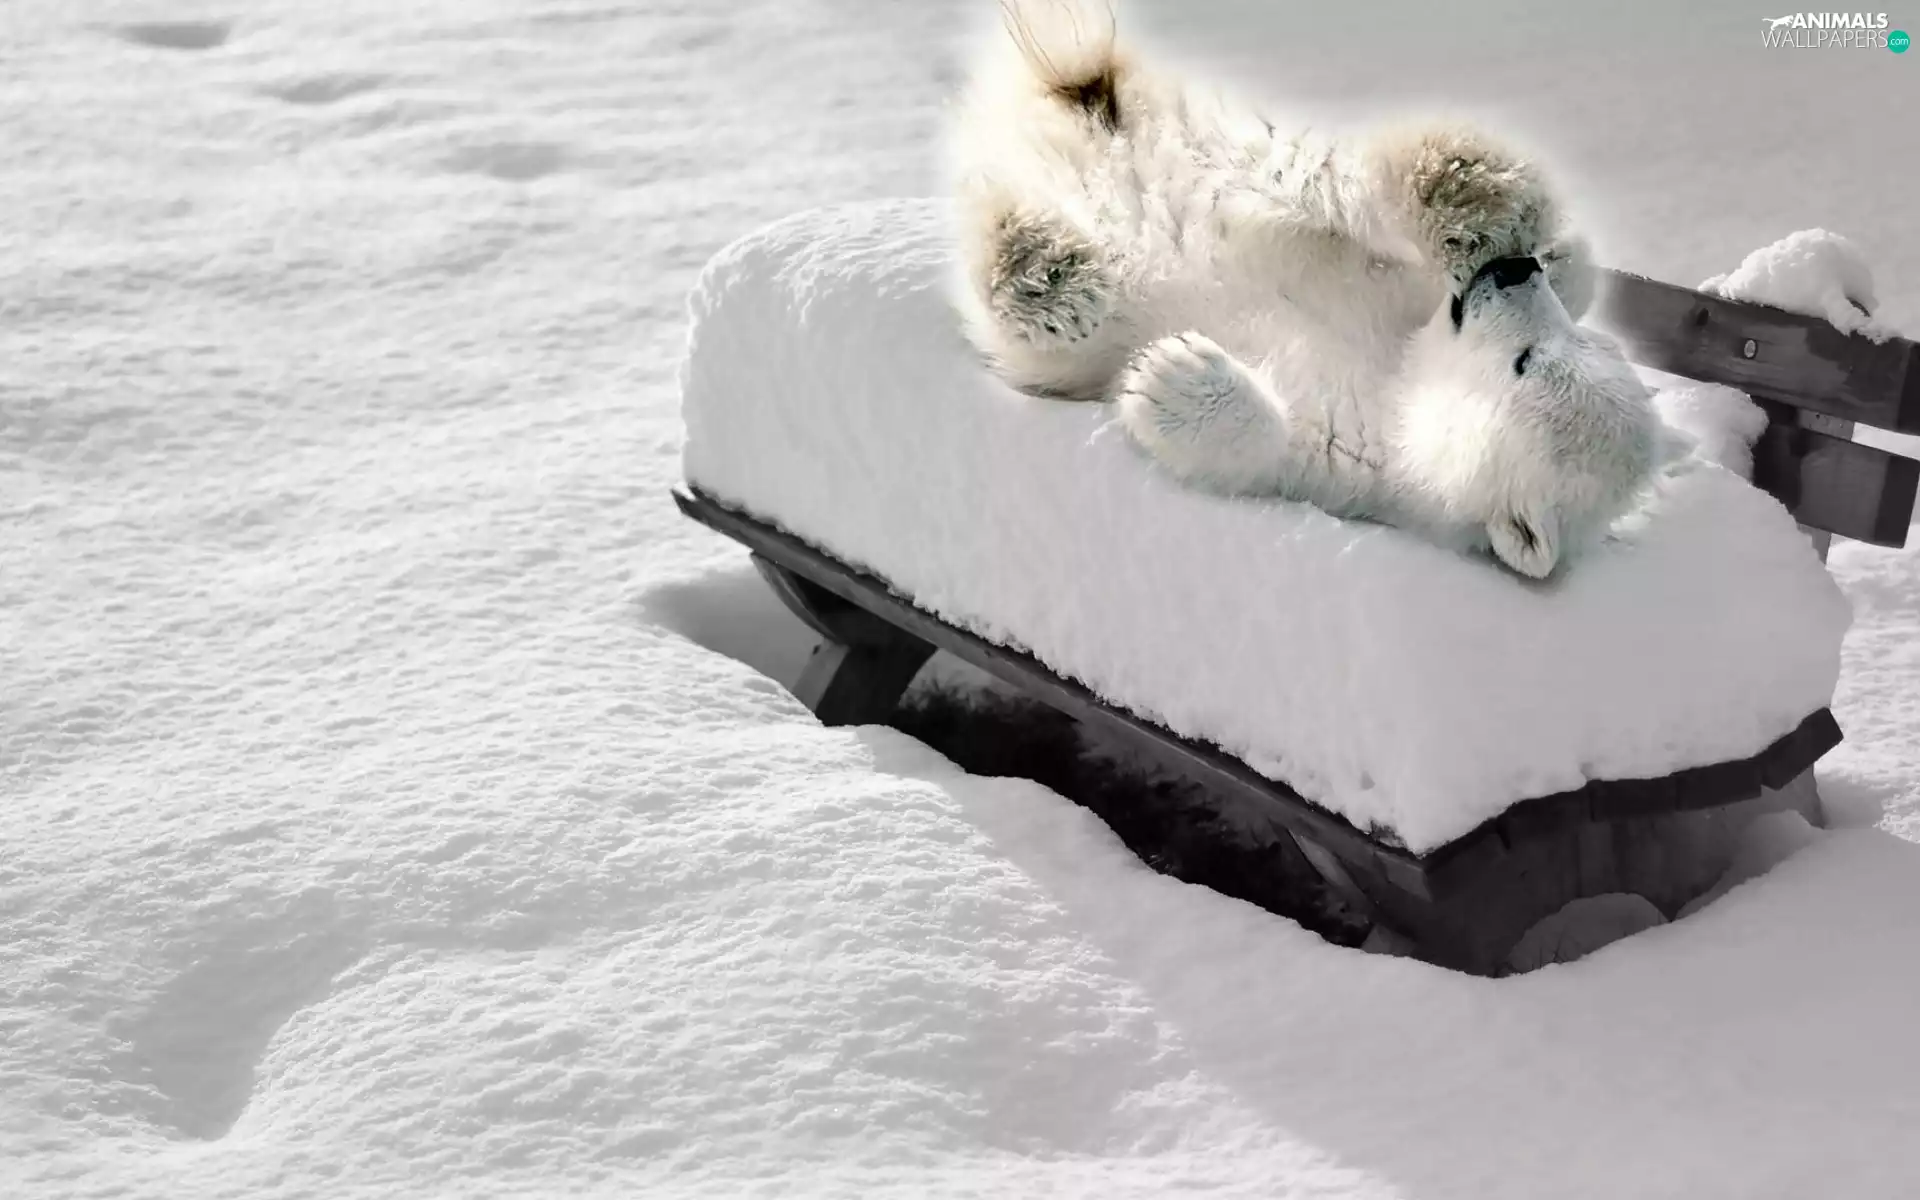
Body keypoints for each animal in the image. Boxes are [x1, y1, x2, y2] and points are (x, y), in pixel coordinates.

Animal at [945, 0, 1664, 578]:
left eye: (1525, 363)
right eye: (1579, 344)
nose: (1511, 271)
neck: (1398, 379)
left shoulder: (1354, 471)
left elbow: (1268, 451)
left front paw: (1171, 375)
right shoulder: (1404, 298)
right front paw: (1549, 251)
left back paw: (1044, 271)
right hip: (1217, 141)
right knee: (1307, 172)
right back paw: (1461, 184)